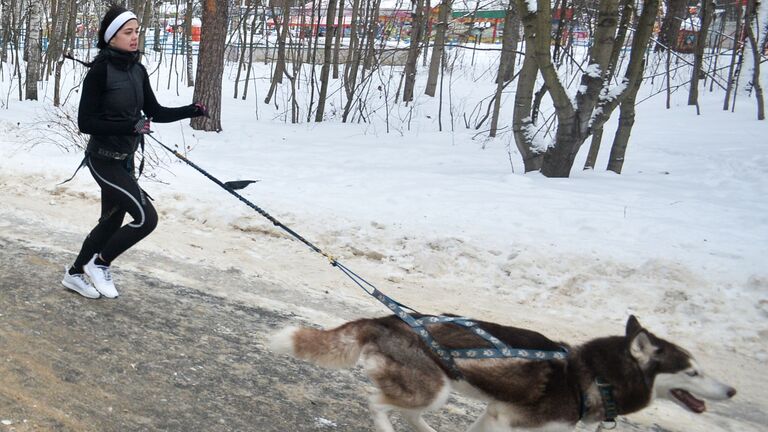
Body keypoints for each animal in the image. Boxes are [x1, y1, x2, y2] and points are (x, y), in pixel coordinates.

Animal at [268, 314, 732, 432]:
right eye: (692, 372)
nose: (731, 391)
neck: (590, 376)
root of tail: (385, 319)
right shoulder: (511, 420)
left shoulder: (496, 413)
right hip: (434, 388)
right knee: (378, 403)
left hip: (437, 390)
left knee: (411, 414)